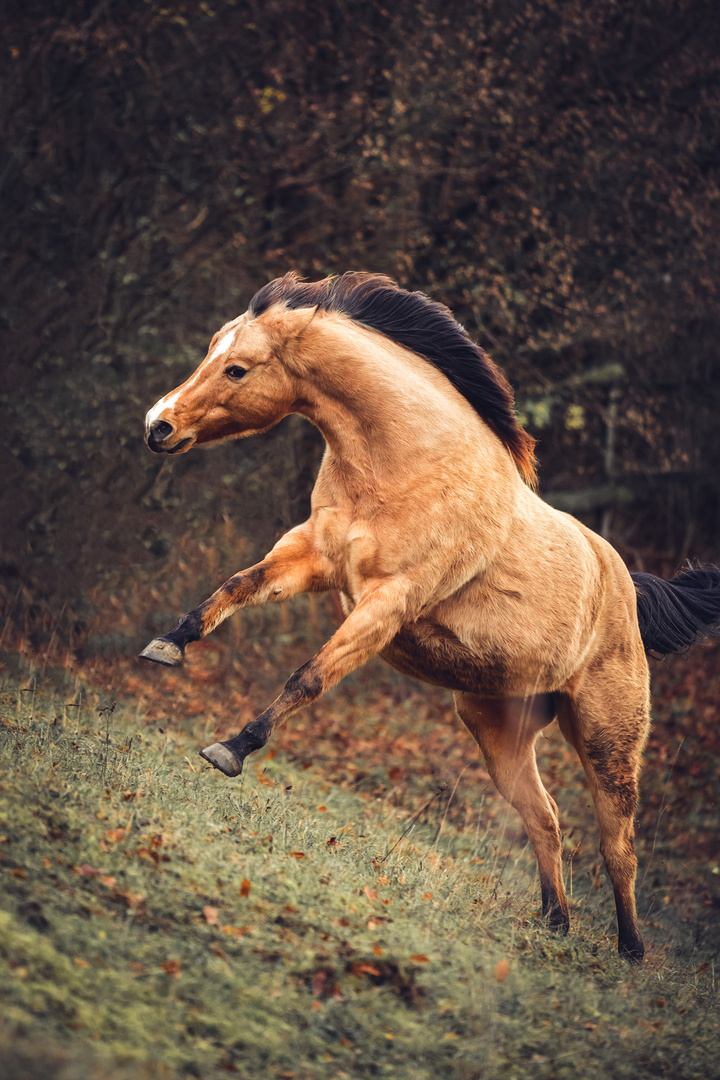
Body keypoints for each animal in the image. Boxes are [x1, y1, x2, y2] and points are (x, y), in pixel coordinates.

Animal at [139, 270, 720, 963]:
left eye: (237, 368)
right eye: (210, 350)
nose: (157, 425)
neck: (408, 462)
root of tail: (627, 590)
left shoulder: (388, 602)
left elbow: (309, 676)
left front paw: (231, 749)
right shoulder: (312, 556)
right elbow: (235, 586)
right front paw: (167, 645)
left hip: (609, 741)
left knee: (619, 845)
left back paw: (629, 952)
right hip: (499, 731)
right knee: (545, 818)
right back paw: (554, 923)